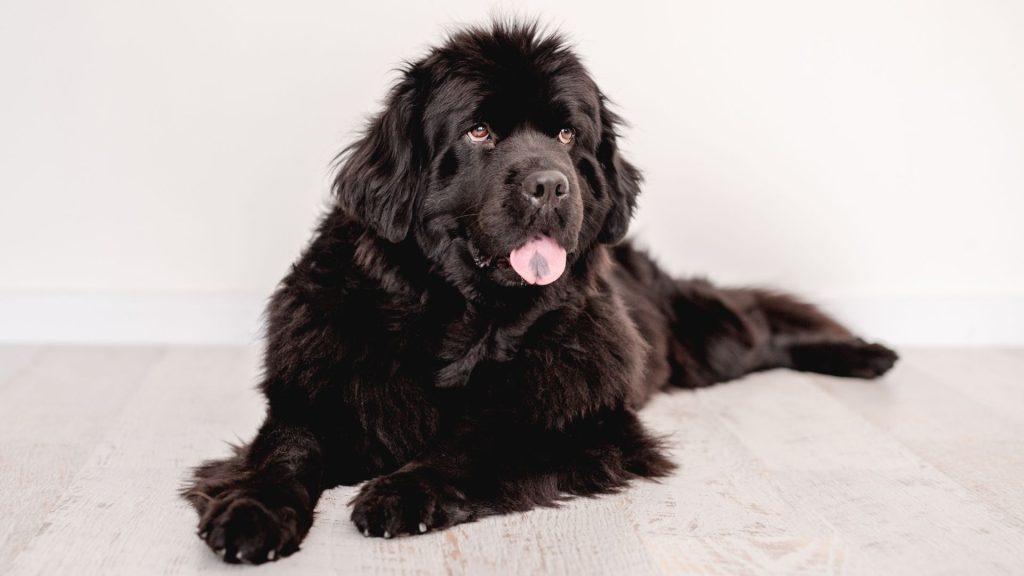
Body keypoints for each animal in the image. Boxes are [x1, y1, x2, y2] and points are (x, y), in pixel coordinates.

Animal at [182, 21, 897, 561]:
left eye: (566, 134)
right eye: (479, 132)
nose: (551, 185)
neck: (460, 321)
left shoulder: (581, 413)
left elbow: (480, 439)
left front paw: (403, 492)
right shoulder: (317, 394)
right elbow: (284, 451)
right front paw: (250, 511)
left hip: (705, 344)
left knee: (758, 321)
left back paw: (866, 353)